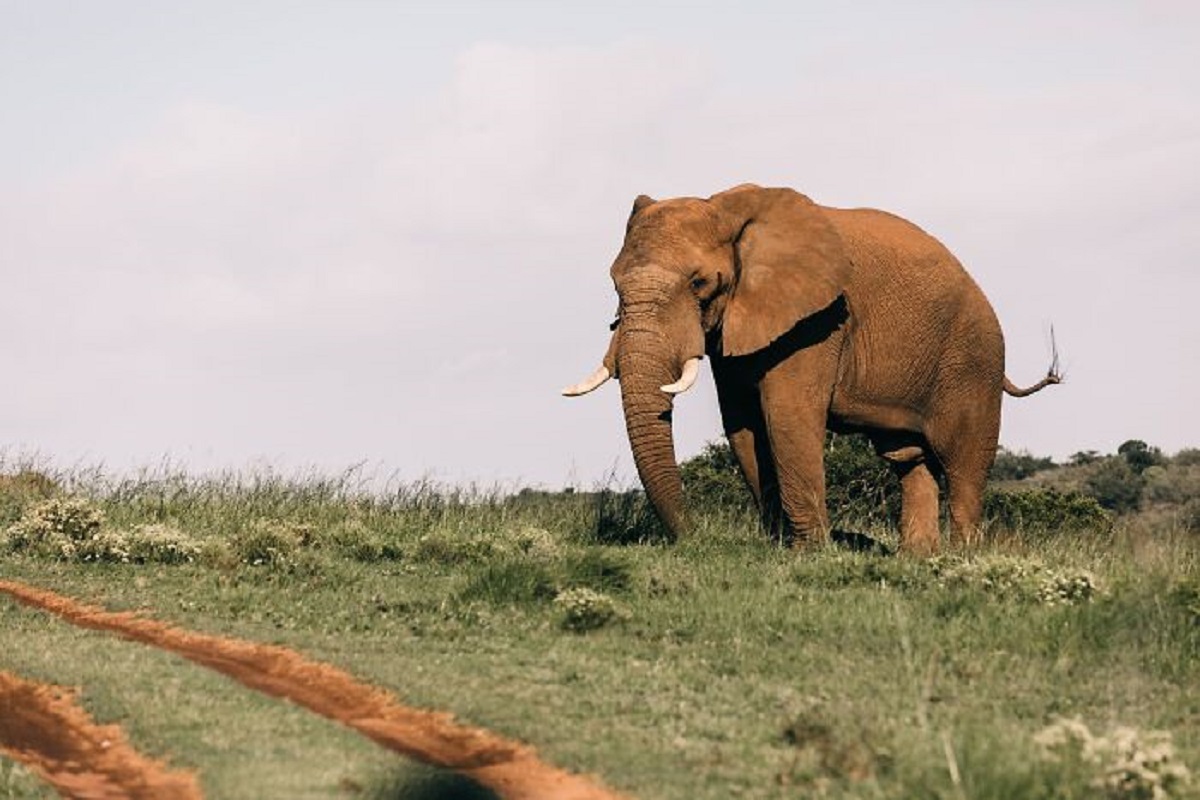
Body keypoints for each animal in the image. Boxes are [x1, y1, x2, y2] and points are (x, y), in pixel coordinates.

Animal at [561, 183, 1060, 554]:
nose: (692, 538)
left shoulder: (818, 321)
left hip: (974, 359)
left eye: (700, 283)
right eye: (614, 284)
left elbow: (787, 416)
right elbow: (742, 423)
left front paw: (809, 553)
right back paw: (916, 560)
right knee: (909, 460)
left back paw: (961, 559)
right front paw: (778, 546)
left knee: (963, 463)